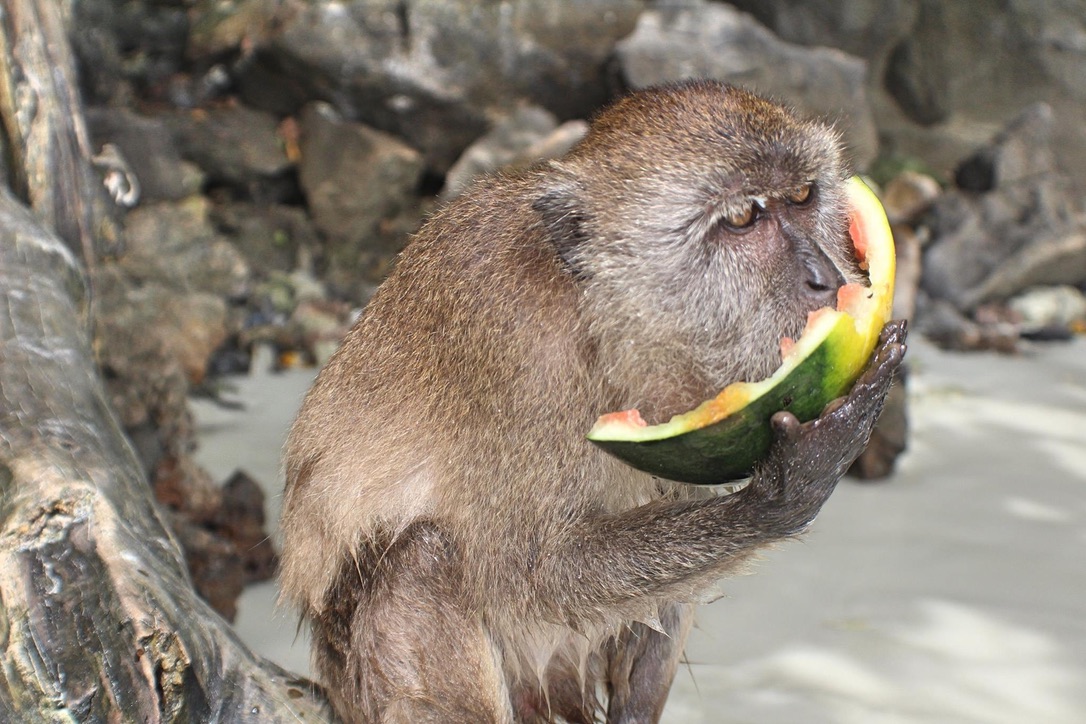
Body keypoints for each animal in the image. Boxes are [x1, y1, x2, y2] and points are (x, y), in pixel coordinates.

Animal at [280, 79, 907, 724]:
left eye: (803, 196)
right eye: (742, 218)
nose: (825, 277)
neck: (598, 314)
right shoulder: (512, 341)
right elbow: (525, 573)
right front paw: (782, 492)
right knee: (418, 560)